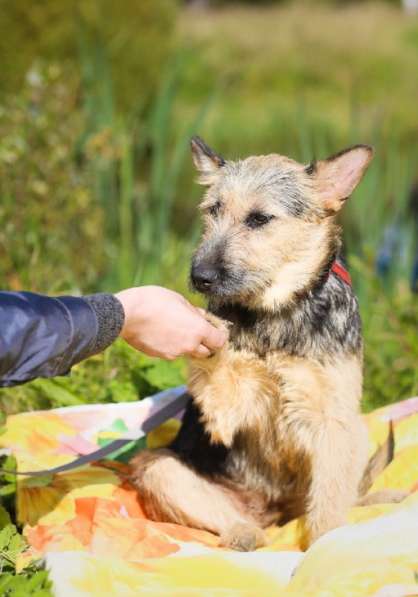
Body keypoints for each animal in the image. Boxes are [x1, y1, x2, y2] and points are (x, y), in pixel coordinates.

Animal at [130, 139, 402, 548]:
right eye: (213, 210)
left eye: (259, 219)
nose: (200, 277)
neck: (277, 312)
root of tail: (271, 511)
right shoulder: (230, 411)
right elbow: (219, 373)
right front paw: (209, 328)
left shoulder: (333, 419)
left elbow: (330, 504)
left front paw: (326, 545)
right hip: (155, 466)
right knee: (230, 517)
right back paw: (244, 534)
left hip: (356, 435)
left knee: (345, 495)